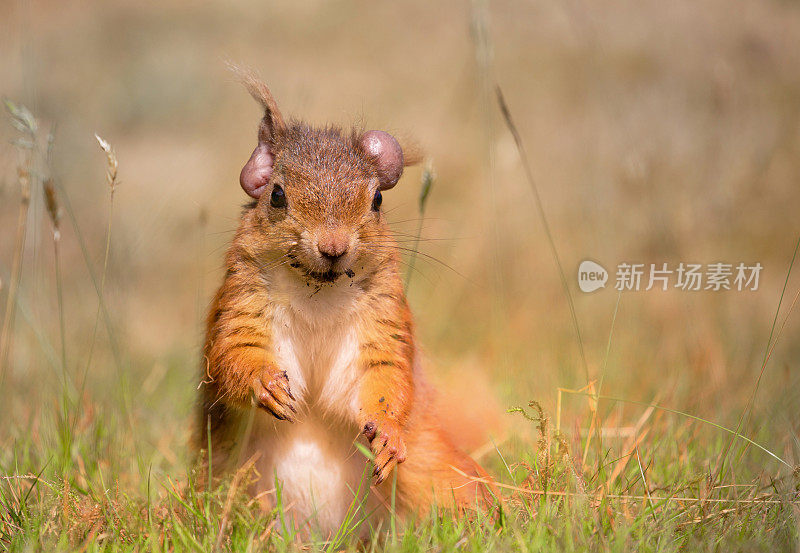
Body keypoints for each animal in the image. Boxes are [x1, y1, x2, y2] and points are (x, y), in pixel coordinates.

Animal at [197, 71, 490, 532]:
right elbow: (233, 353)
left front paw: (388, 435)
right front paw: (267, 385)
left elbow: (381, 379)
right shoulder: (242, 305)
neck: (319, 293)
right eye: (276, 195)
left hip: (440, 473)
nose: (333, 247)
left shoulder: (381, 324)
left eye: (377, 200)